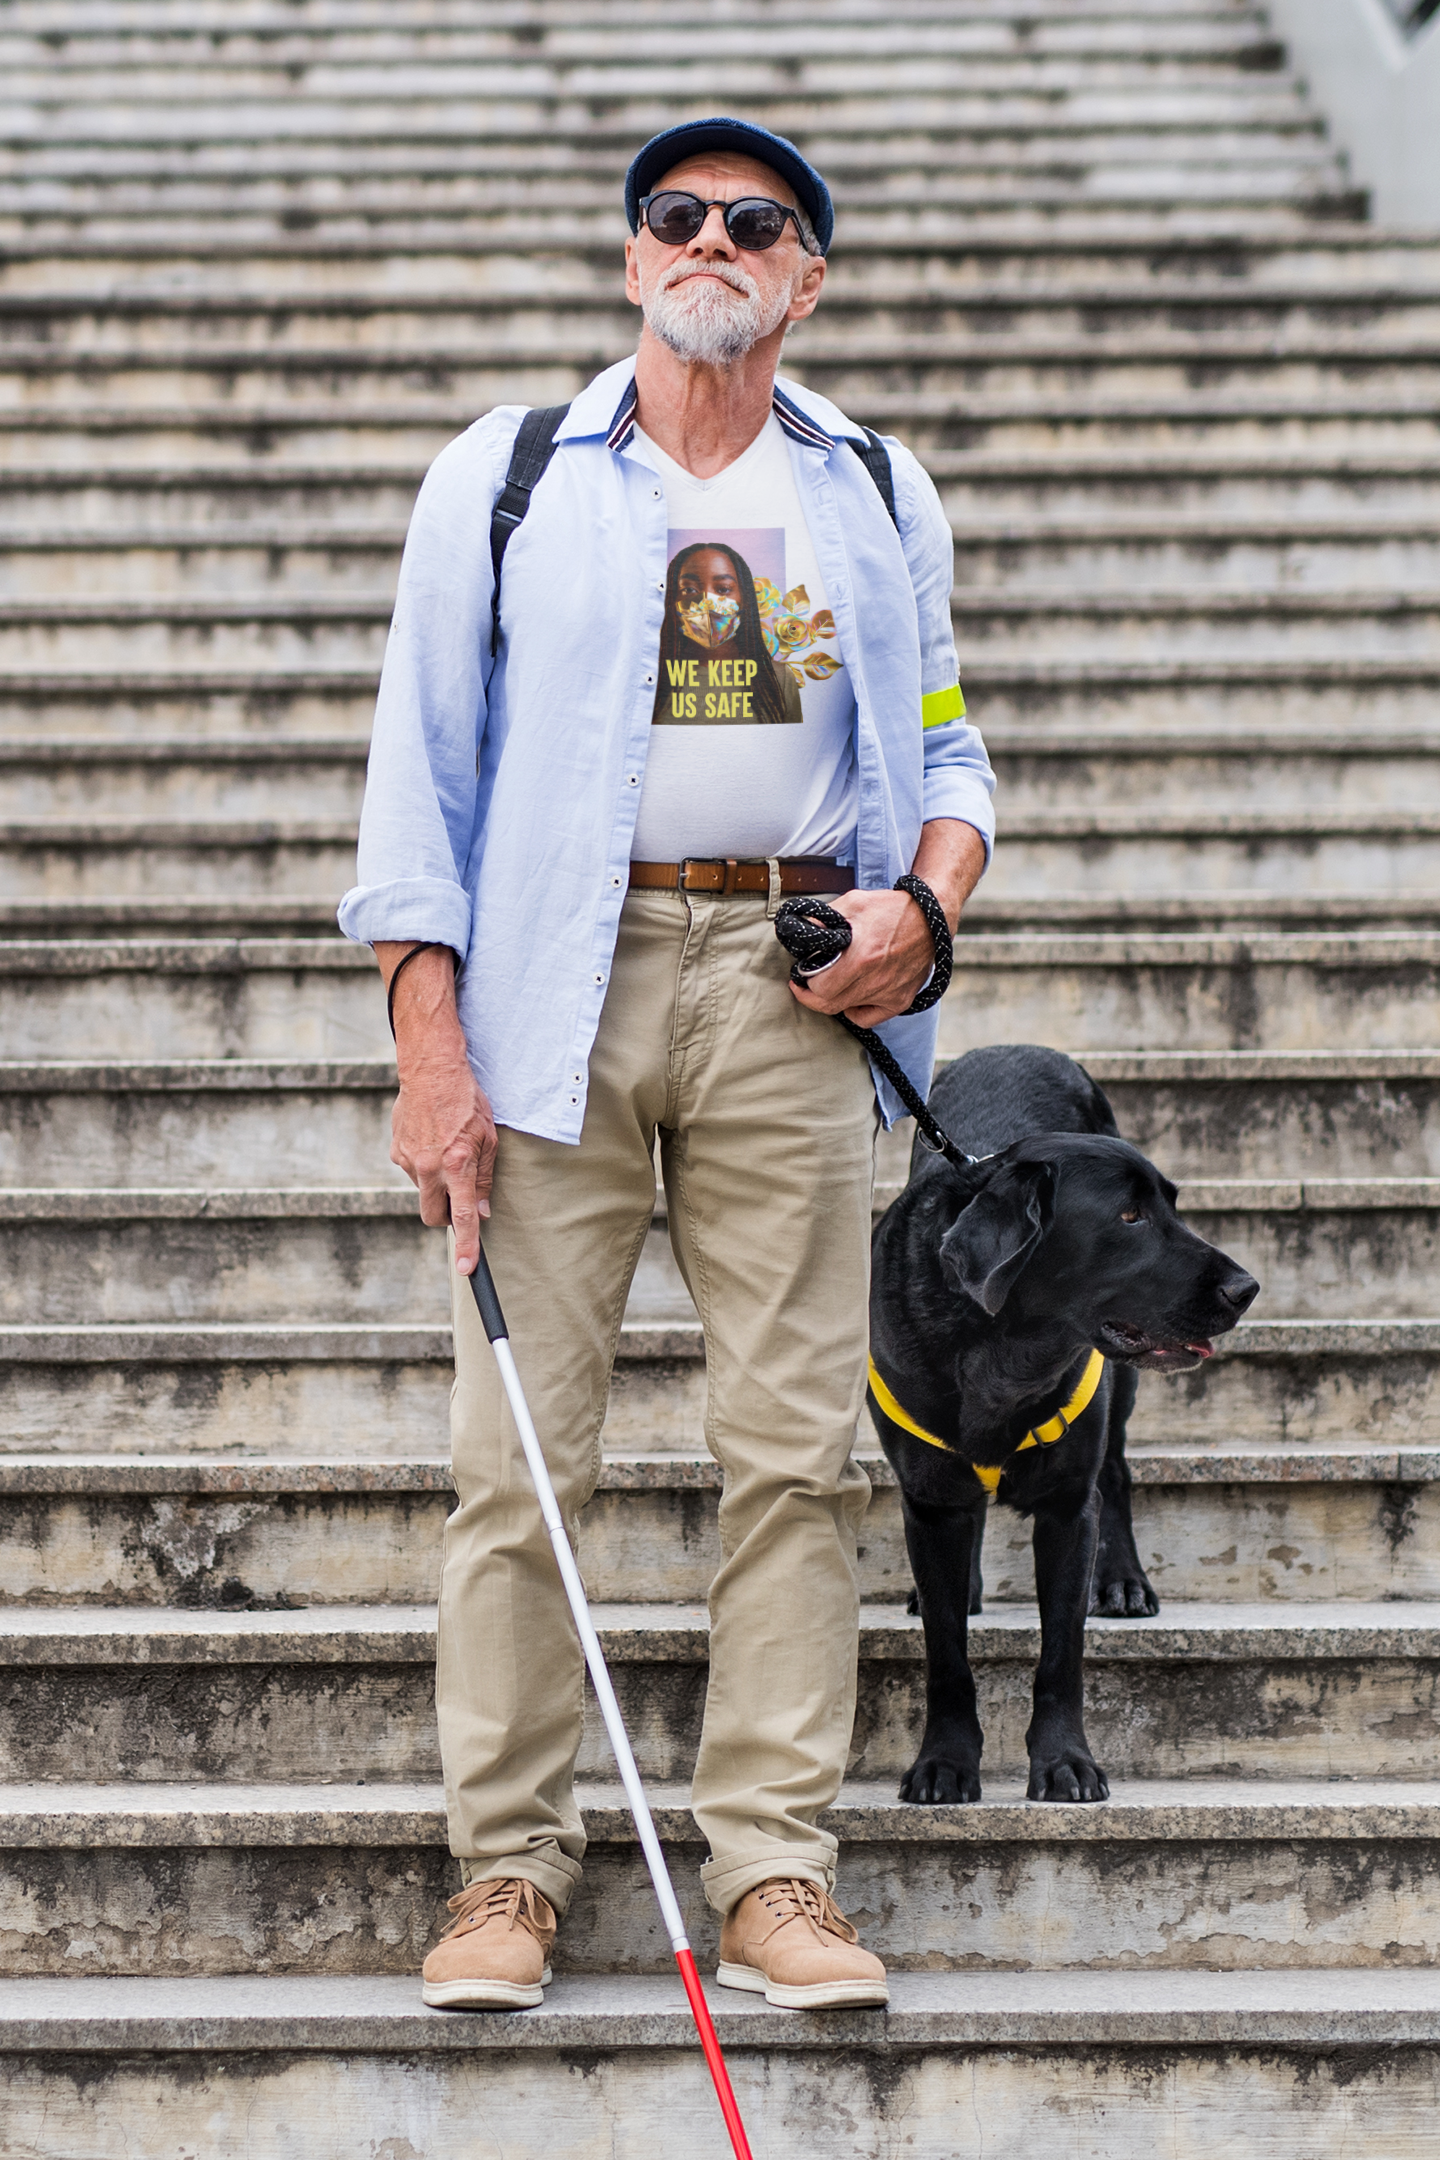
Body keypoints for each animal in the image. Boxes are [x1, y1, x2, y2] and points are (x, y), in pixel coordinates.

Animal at [867, 1045, 1260, 1805]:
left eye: (1171, 1206)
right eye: (1130, 1216)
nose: (1246, 1288)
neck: (1003, 1345)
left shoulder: (1067, 1509)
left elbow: (1061, 1655)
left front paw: (1065, 1764)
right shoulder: (928, 1503)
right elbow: (946, 1655)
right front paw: (943, 1764)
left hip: (1120, 1390)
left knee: (1118, 1475)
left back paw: (1124, 1582)